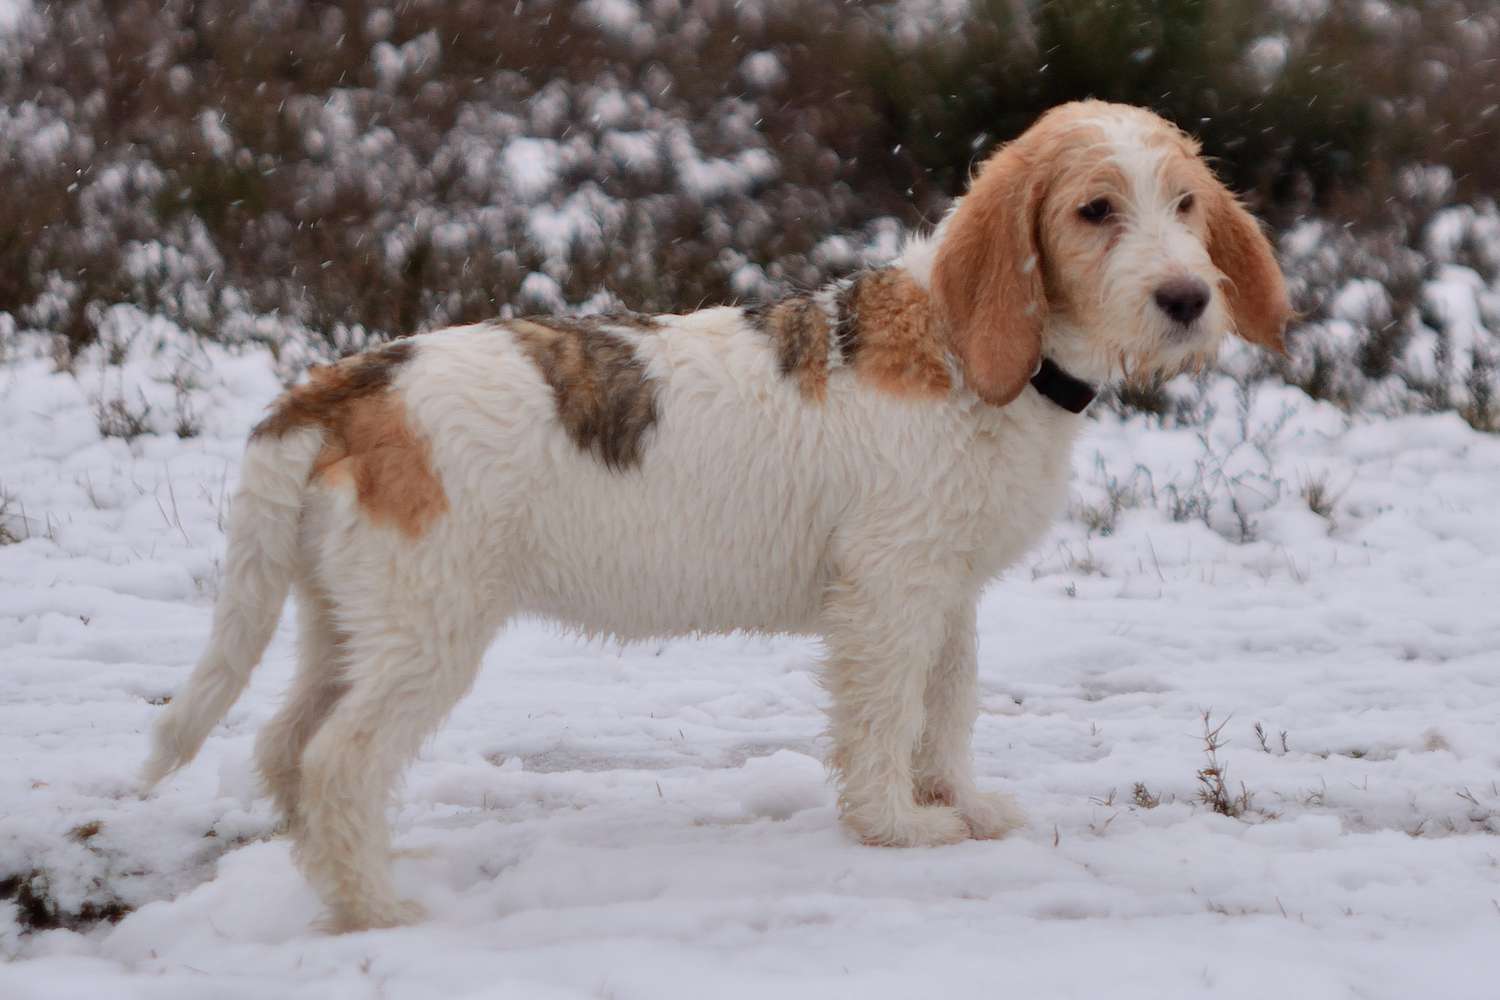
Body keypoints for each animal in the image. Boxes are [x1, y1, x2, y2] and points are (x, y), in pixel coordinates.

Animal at [141, 99, 1290, 929]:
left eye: (1187, 204)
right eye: (1096, 210)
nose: (1188, 299)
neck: (968, 350)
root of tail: (346, 386)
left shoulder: (946, 592)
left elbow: (948, 706)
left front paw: (959, 805)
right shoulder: (888, 592)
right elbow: (884, 714)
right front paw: (896, 828)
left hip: (344, 617)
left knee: (285, 743)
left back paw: (333, 883)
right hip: (428, 628)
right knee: (337, 758)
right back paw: (380, 910)